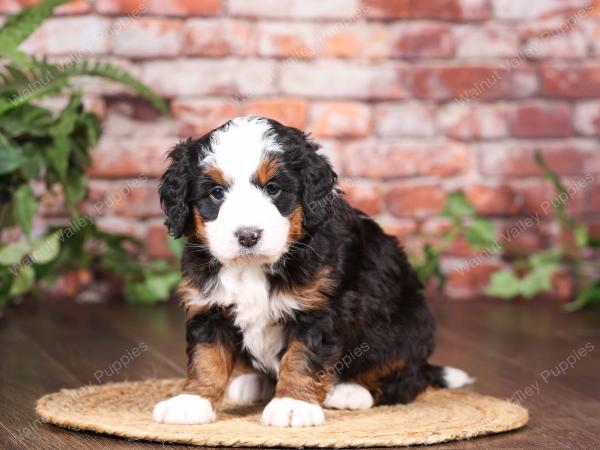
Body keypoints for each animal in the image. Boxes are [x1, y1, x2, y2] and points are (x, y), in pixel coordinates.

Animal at [152, 115, 472, 426]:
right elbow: (206, 357)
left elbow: (302, 357)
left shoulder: (319, 310)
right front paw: (192, 400)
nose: (248, 236)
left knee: (405, 379)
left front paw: (293, 405)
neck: (254, 267)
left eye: (273, 188)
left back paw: (350, 391)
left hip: (407, 326)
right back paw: (252, 382)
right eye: (216, 193)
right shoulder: (209, 306)